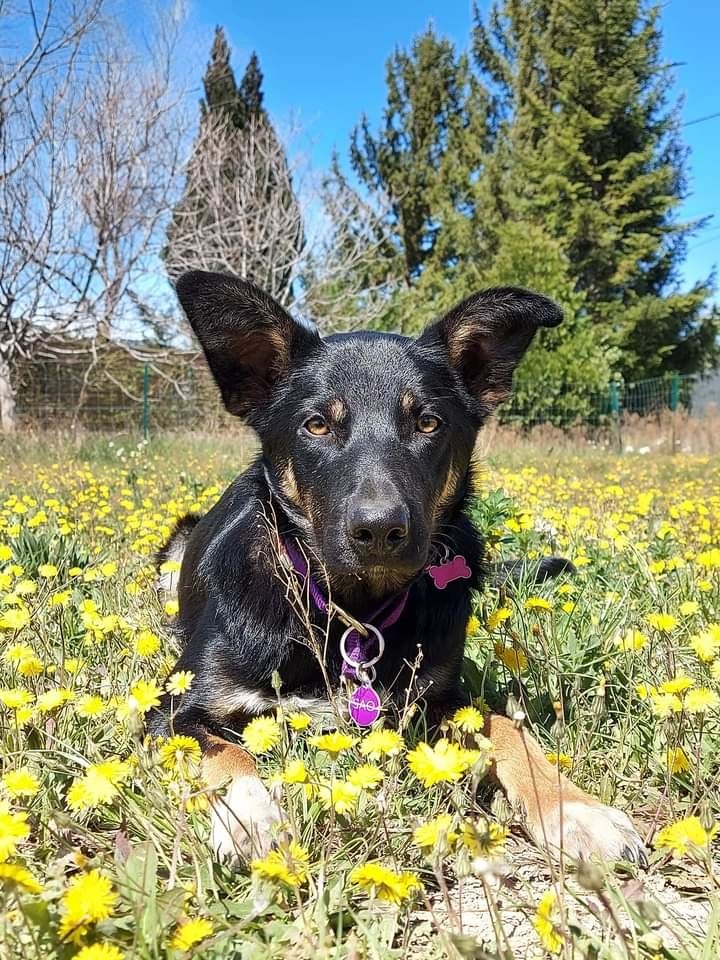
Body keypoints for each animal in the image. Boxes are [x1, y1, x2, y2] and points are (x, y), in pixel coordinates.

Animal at [150, 272, 648, 872]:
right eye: (317, 424)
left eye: (427, 422)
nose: (379, 529)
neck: (349, 609)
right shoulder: (175, 709)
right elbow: (224, 752)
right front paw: (250, 816)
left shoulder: (441, 701)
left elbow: (509, 729)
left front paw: (573, 808)